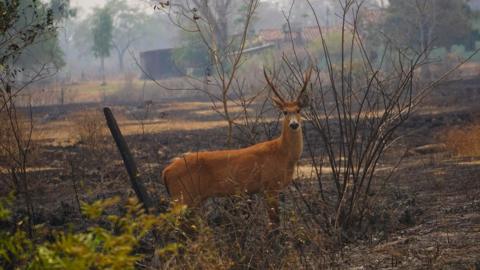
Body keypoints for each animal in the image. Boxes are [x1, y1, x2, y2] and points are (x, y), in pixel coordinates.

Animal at [161, 67, 312, 224]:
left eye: (299, 110)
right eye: (285, 112)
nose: (294, 124)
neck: (282, 154)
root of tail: (166, 172)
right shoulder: (269, 185)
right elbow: (274, 222)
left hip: (191, 199)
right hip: (184, 196)